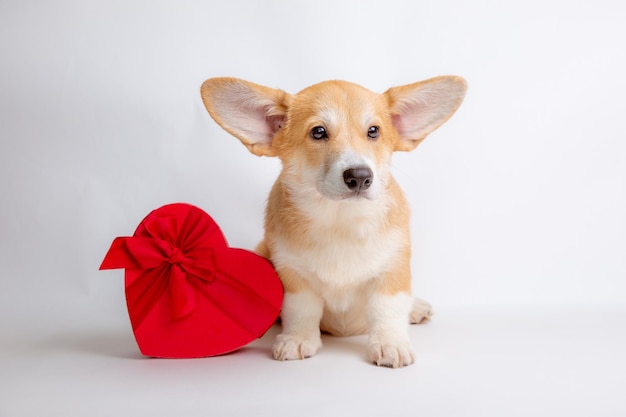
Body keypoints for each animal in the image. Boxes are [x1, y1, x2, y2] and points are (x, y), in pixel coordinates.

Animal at [199, 75, 464, 368]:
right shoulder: (292, 275)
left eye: (373, 131)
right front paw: (297, 339)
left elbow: (386, 309)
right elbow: (301, 310)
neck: (341, 220)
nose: (360, 176)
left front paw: (390, 343)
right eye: (318, 132)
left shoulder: (392, 269)